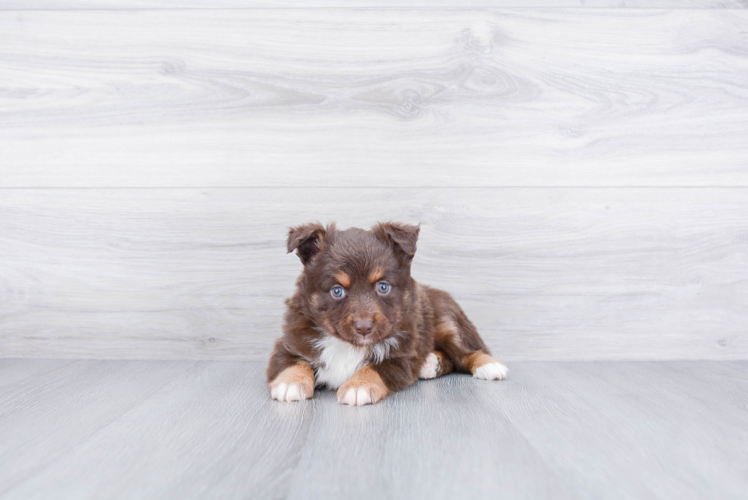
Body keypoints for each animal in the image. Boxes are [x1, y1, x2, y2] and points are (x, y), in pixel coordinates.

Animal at [264, 223, 508, 406]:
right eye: (337, 291)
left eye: (383, 287)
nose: (364, 327)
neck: (349, 345)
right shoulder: (289, 343)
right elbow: (293, 362)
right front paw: (291, 383)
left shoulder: (401, 356)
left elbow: (375, 367)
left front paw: (358, 386)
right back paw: (430, 364)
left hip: (448, 322)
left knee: (466, 352)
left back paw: (489, 366)